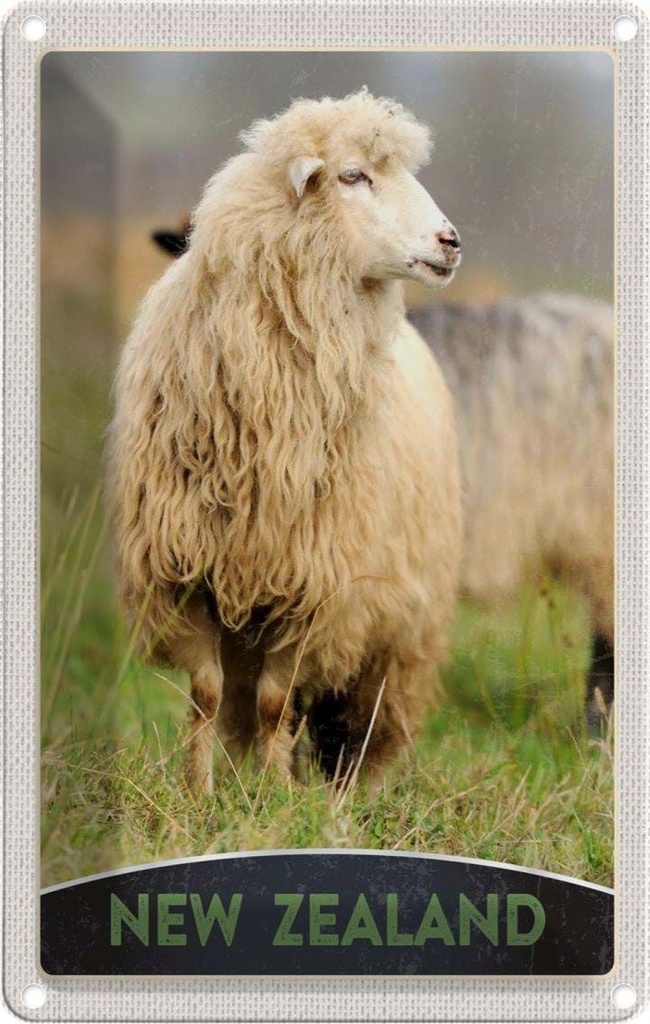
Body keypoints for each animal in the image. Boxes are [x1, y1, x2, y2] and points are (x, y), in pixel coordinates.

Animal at [108, 90, 463, 795]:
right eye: (353, 175)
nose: (451, 242)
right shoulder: (188, 571)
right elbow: (206, 695)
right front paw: (199, 794)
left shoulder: (316, 588)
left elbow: (277, 702)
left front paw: (270, 800)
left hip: (399, 624)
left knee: (365, 715)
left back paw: (348, 791)